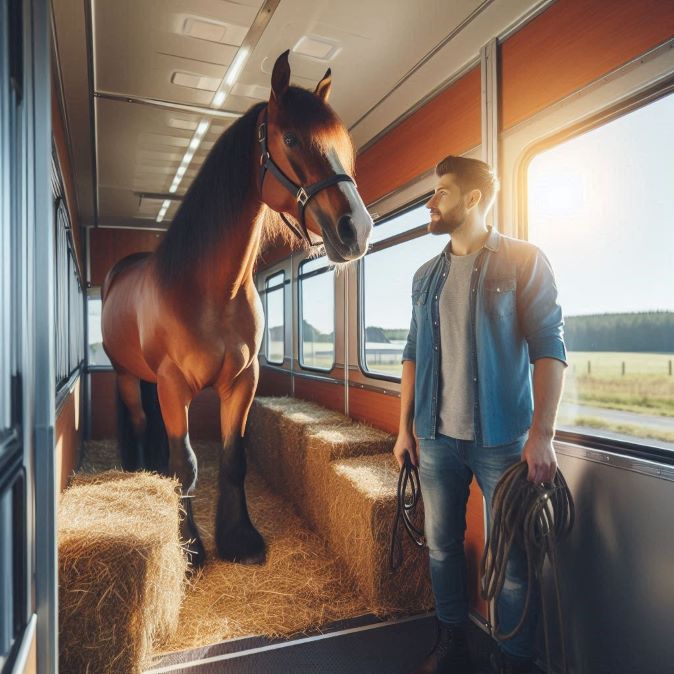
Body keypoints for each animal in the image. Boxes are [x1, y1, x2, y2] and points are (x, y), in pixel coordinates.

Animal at [101, 51, 373, 568]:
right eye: (290, 138)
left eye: (341, 147)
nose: (357, 229)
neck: (213, 292)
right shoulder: (172, 387)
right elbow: (184, 463)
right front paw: (189, 546)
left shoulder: (242, 381)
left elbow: (233, 458)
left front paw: (239, 537)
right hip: (127, 376)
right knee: (141, 423)